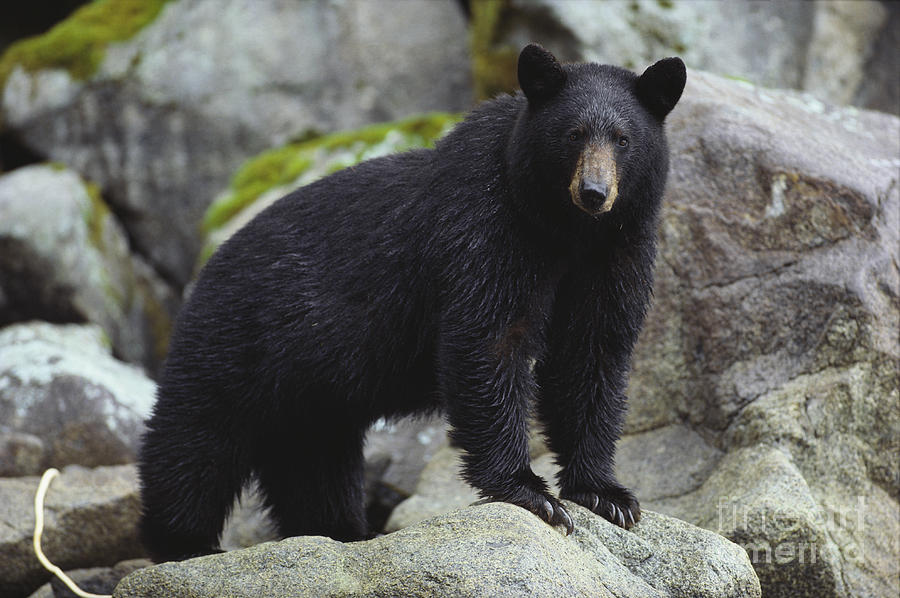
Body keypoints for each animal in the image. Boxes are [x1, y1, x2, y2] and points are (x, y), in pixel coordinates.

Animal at [137, 43, 684, 564]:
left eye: (623, 139)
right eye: (573, 134)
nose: (594, 192)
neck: (564, 231)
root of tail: (205, 267)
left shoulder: (616, 250)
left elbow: (590, 354)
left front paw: (604, 494)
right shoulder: (486, 229)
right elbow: (487, 340)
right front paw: (531, 493)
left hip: (309, 395)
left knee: (312, 461)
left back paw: (340, 530)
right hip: (234, 342)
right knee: (195, 443)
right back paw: (184, 540)